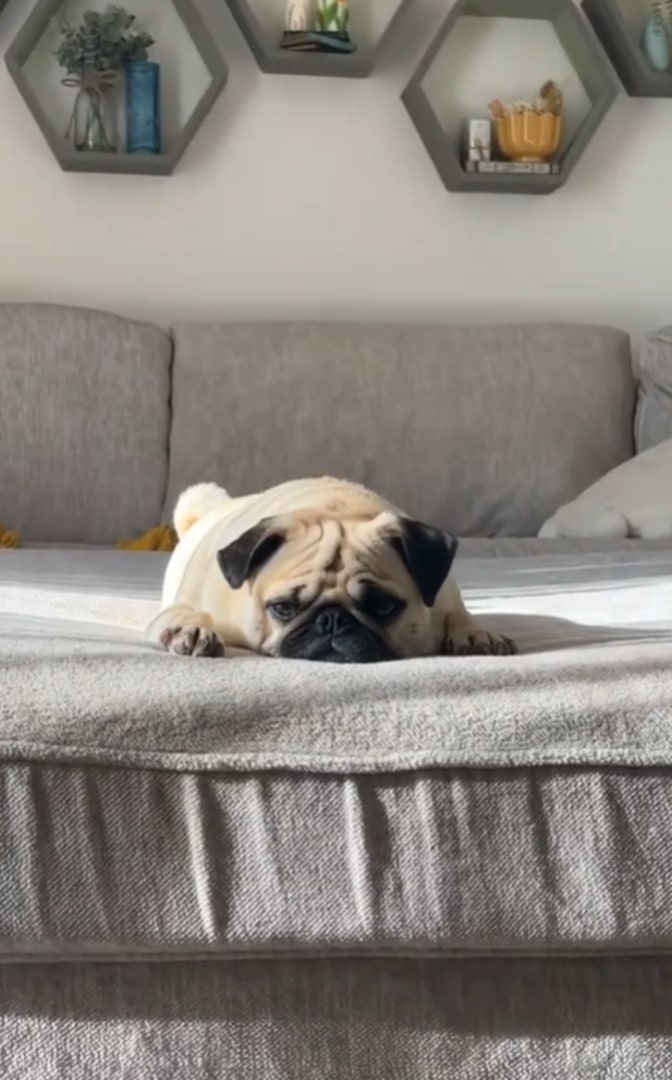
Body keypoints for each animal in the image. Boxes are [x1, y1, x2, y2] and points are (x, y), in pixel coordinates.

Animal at [146, 477, 516, 660]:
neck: (335, 510)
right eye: (282, 608)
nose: (333, 620)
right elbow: (185, 612)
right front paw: (191, 629)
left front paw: (474, 632)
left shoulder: (444, 594)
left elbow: (457, 613)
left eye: (383, 607)